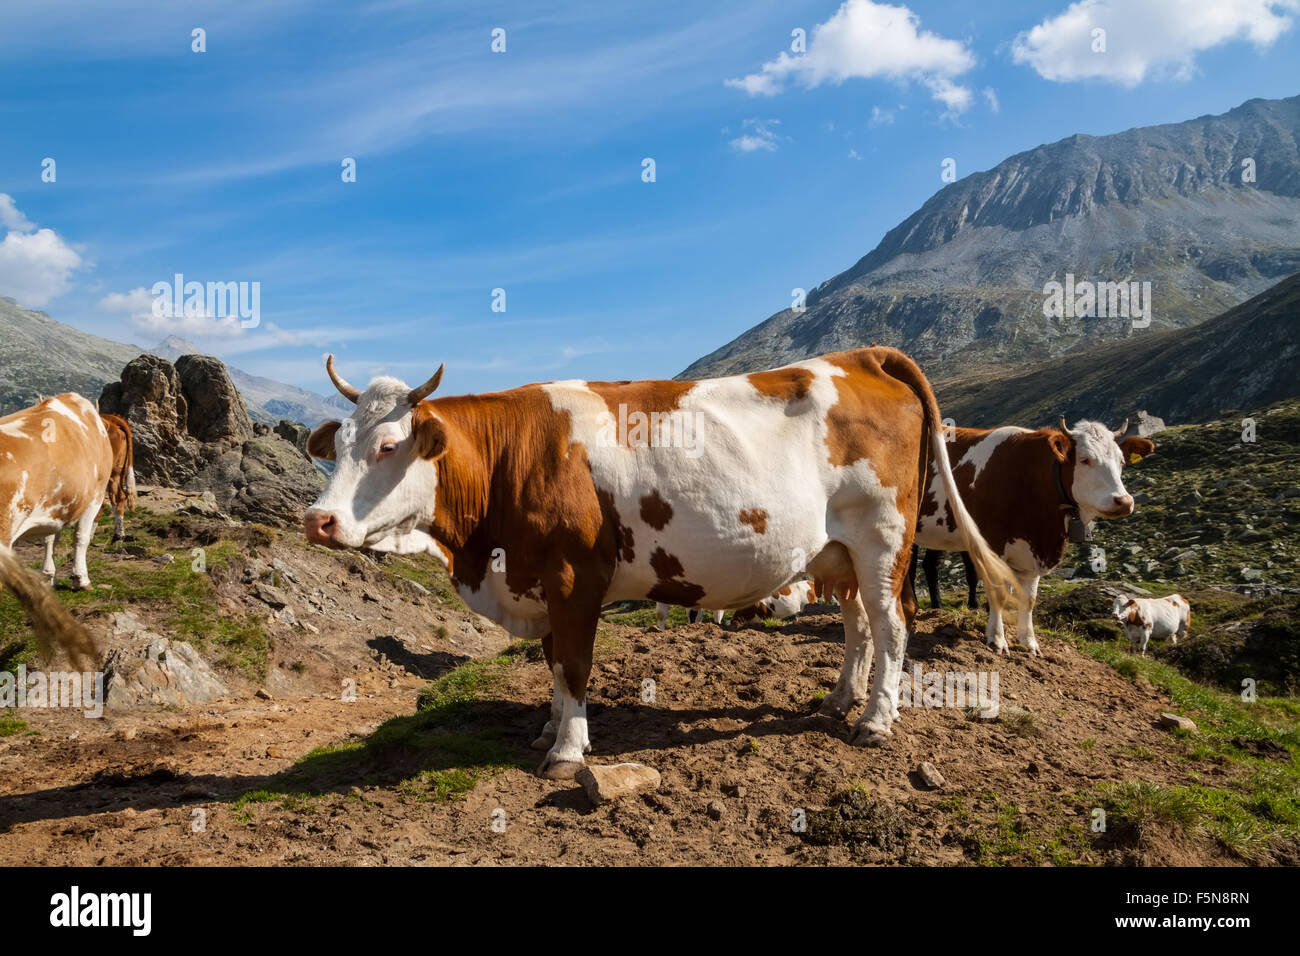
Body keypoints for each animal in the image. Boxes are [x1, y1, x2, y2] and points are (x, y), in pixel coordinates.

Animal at [0, 393, 115, 591]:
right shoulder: (96, 495)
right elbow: (81, 537)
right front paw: (81, 579)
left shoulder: (53, 504)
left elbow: (50, 538)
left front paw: (48, 576)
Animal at [302, 346, 1016, 778]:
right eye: (337, 446)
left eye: (389, 446)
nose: (319, 520)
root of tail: (859, 357)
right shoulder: (542, 585)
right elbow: (552, 663)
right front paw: (549, 728)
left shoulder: (573, 578)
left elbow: (574, 664)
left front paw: (567, 750)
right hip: (838, 553)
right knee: (858, 626)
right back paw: (841, 698)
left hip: (883, 541)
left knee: (892, 625)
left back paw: (875, 720)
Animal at [915, 418, 1155, 656]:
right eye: (1085, 460)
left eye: (1121, 461)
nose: (1123, 501)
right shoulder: (992, 547)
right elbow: (999, 592)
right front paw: (997, 639)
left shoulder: (1034, 552)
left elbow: (1028, 599)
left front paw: (1028, 642)